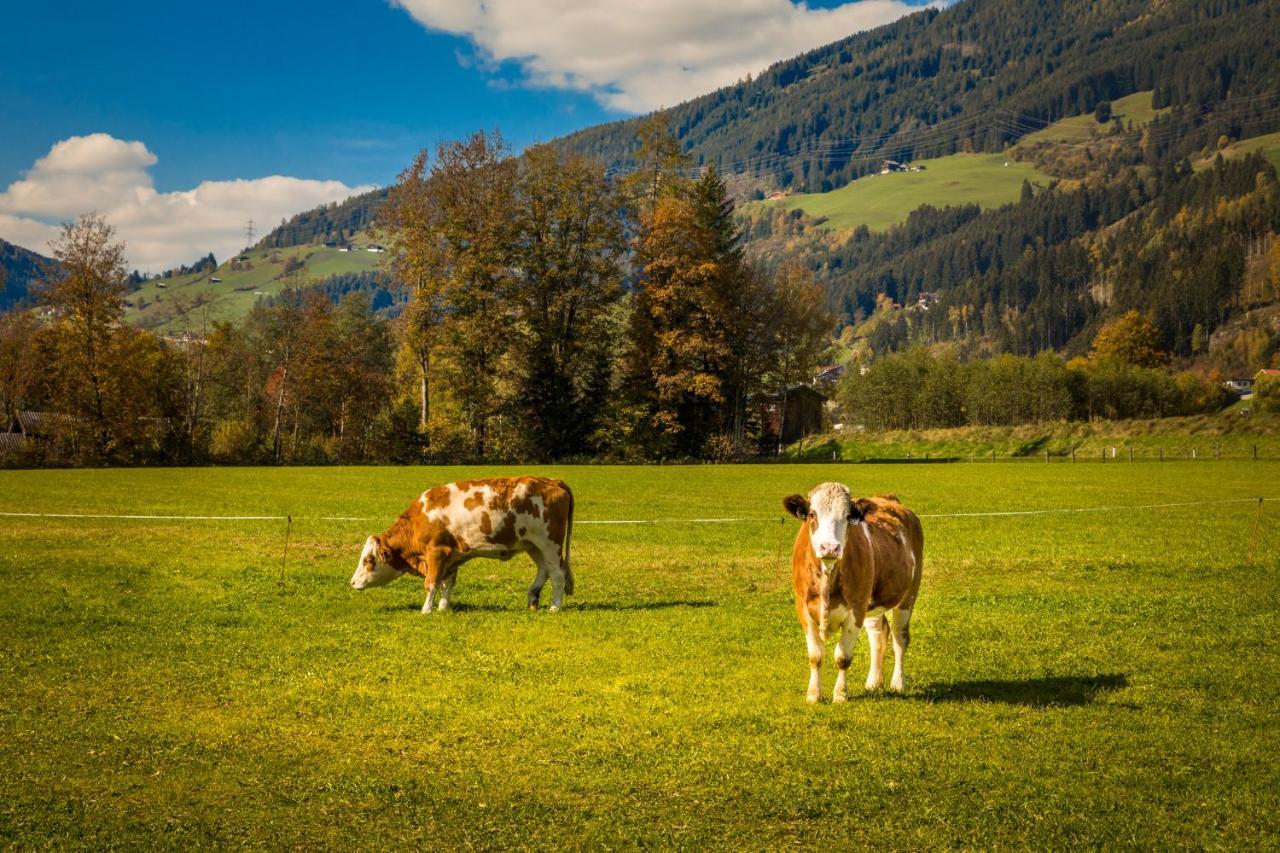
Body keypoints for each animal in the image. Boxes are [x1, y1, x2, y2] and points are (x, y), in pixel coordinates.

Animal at [345, 479, 576, 612]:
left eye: (368, 560)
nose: (352, 582)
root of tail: (553, 481)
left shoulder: (437, 552)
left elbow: (432, 583)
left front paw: (426, 610)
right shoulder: (452, 556)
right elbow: (447, 583)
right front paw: (443, 608)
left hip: (550, 543)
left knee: (557, 574)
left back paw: (555, 607)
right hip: (534, 545)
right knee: (544, 570)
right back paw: (532, 600)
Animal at [778, 481, 921, 701]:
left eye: (847, 516)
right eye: (812, 514)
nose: (830, 547)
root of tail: (890, 499)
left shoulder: (855, 610)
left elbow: (843, 657)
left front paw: (840, 695)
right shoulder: (803, 608)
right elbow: (815, 655)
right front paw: (813, 695)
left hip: (907, 596)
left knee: (899, 638)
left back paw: (898, 683)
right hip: (870, 602)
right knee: (878, 635)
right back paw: (874, 682)